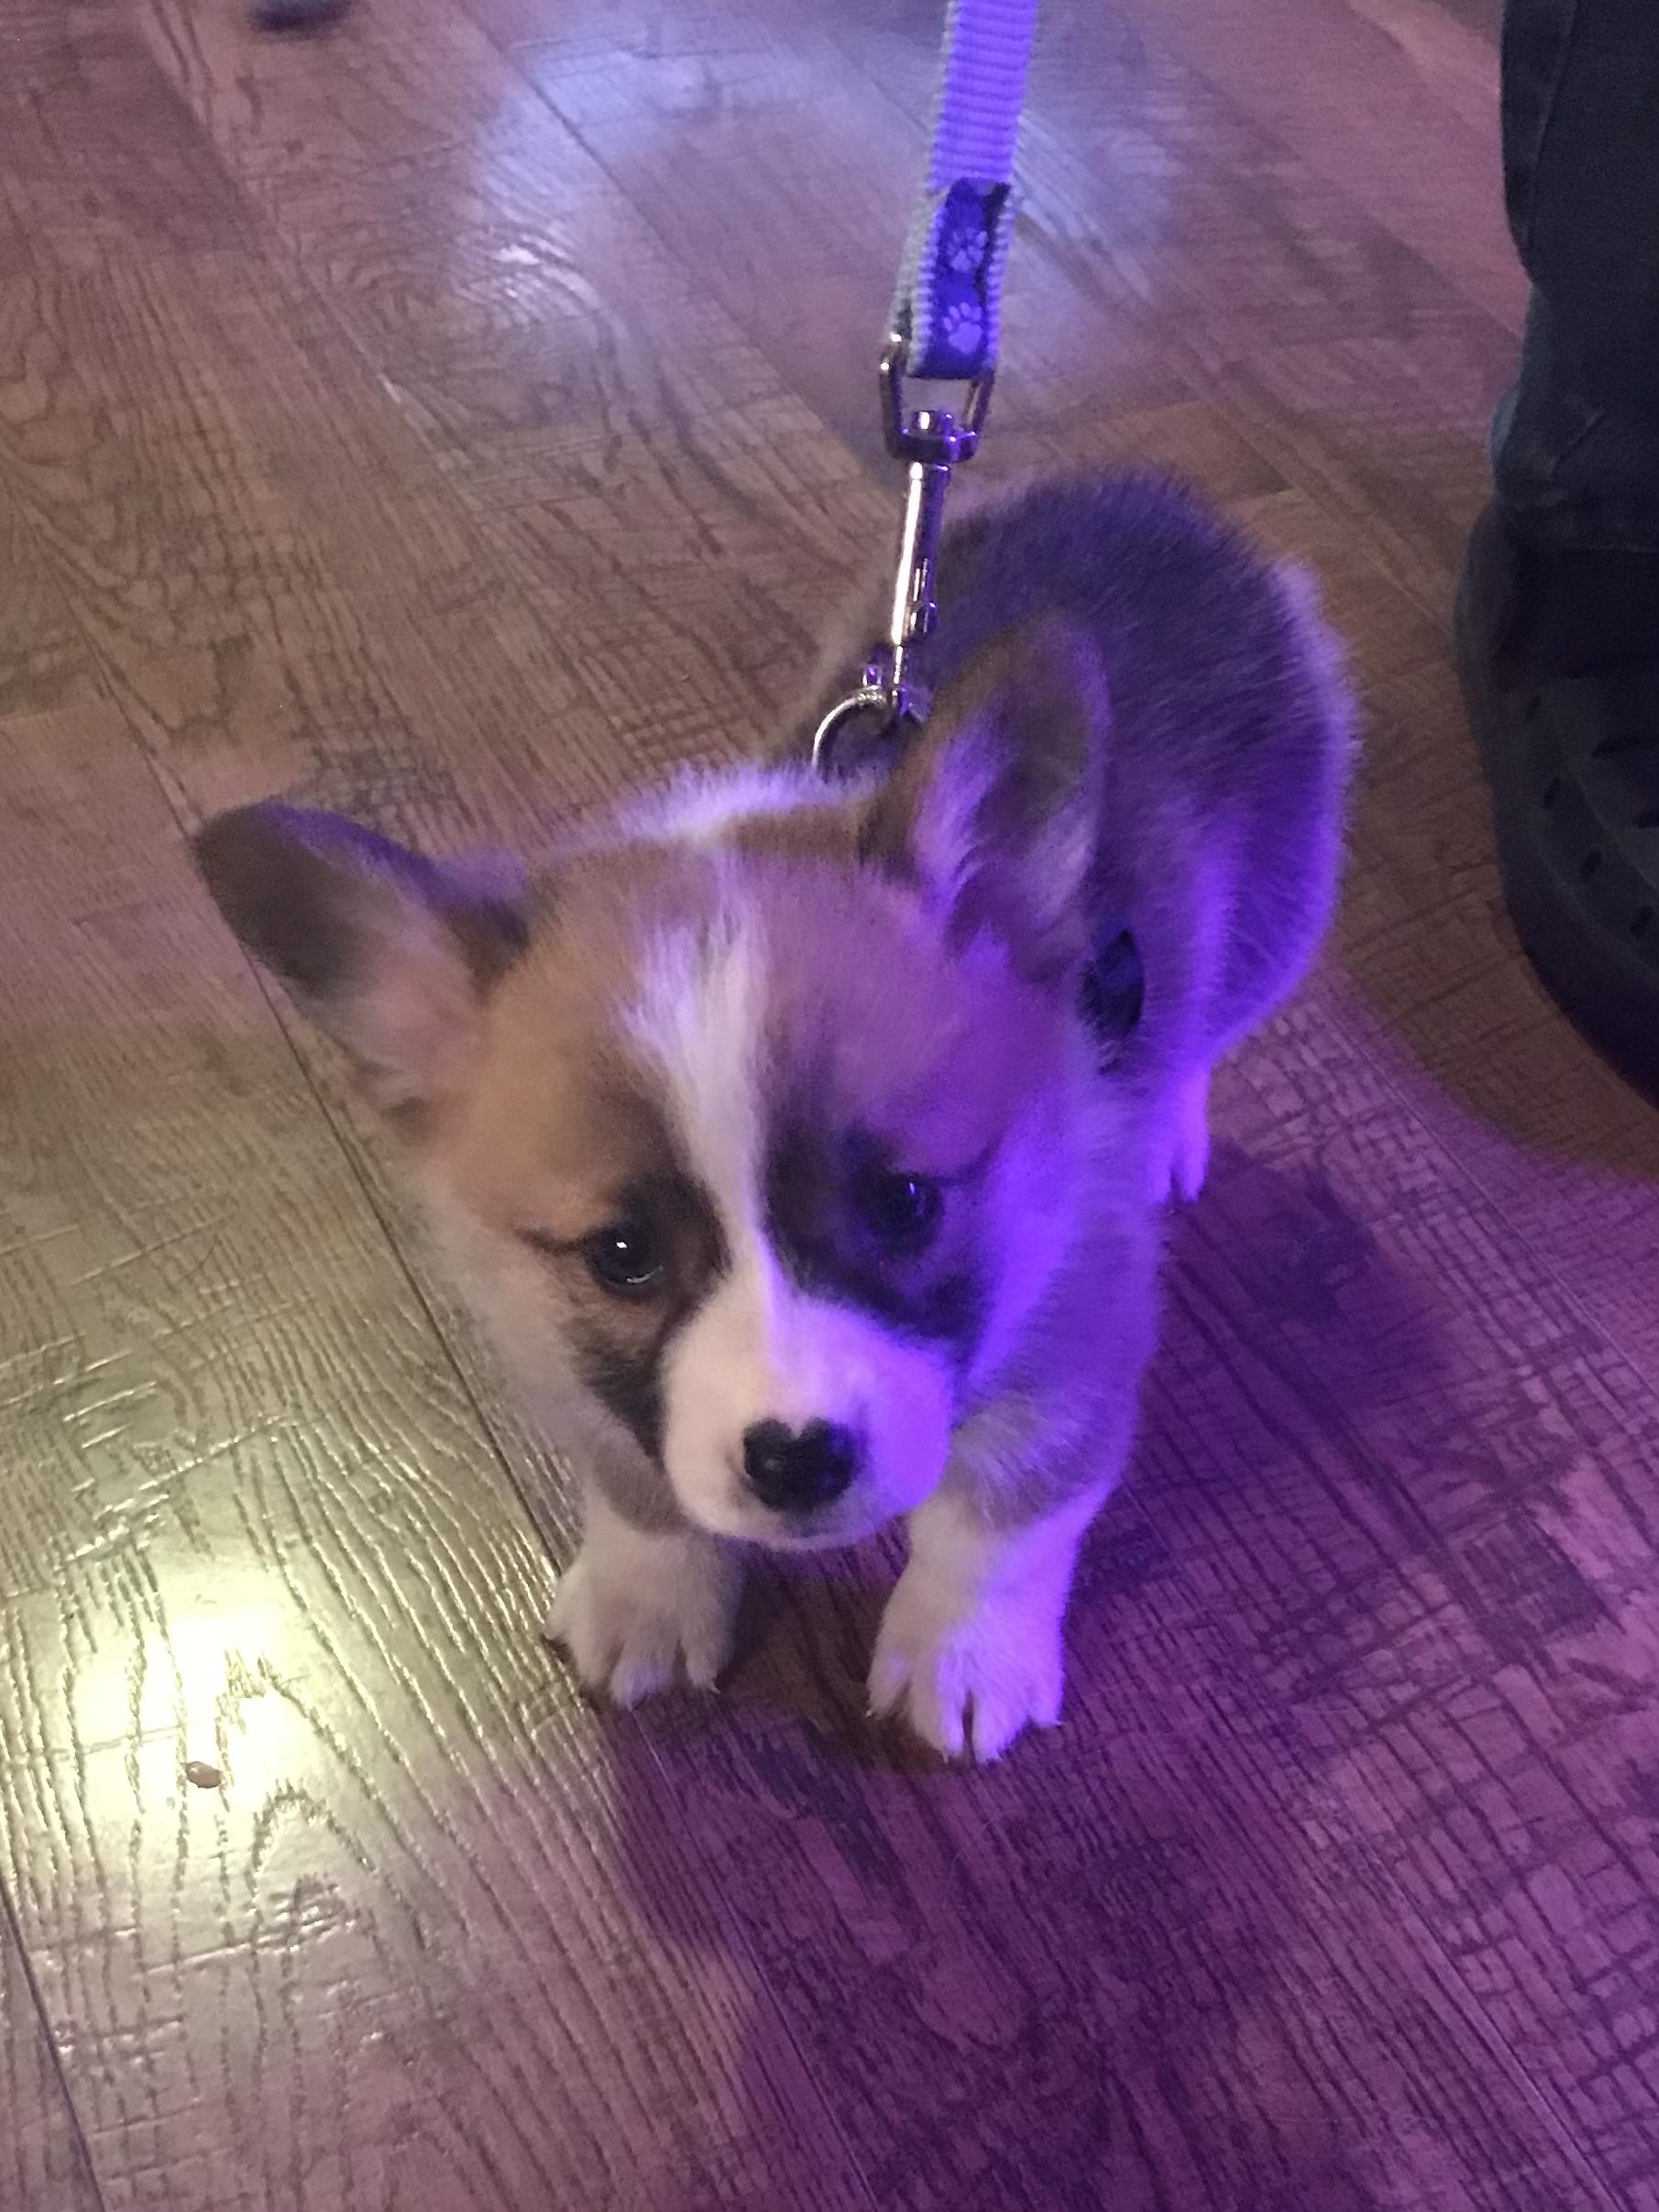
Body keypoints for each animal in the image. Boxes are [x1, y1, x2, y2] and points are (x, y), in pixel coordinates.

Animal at [194, 470, 1354, 1762]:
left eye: (902, 1202)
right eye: (622, 1252)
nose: (797, 1462)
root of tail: (1158, 500)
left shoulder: (1070, 1340)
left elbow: (996, 1526)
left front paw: (962, 1656)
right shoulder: (566, 1359)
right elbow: (639, 1491)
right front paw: (648, 1596)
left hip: (1279, 916)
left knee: (1207, 1028)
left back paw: (1174, 1129)